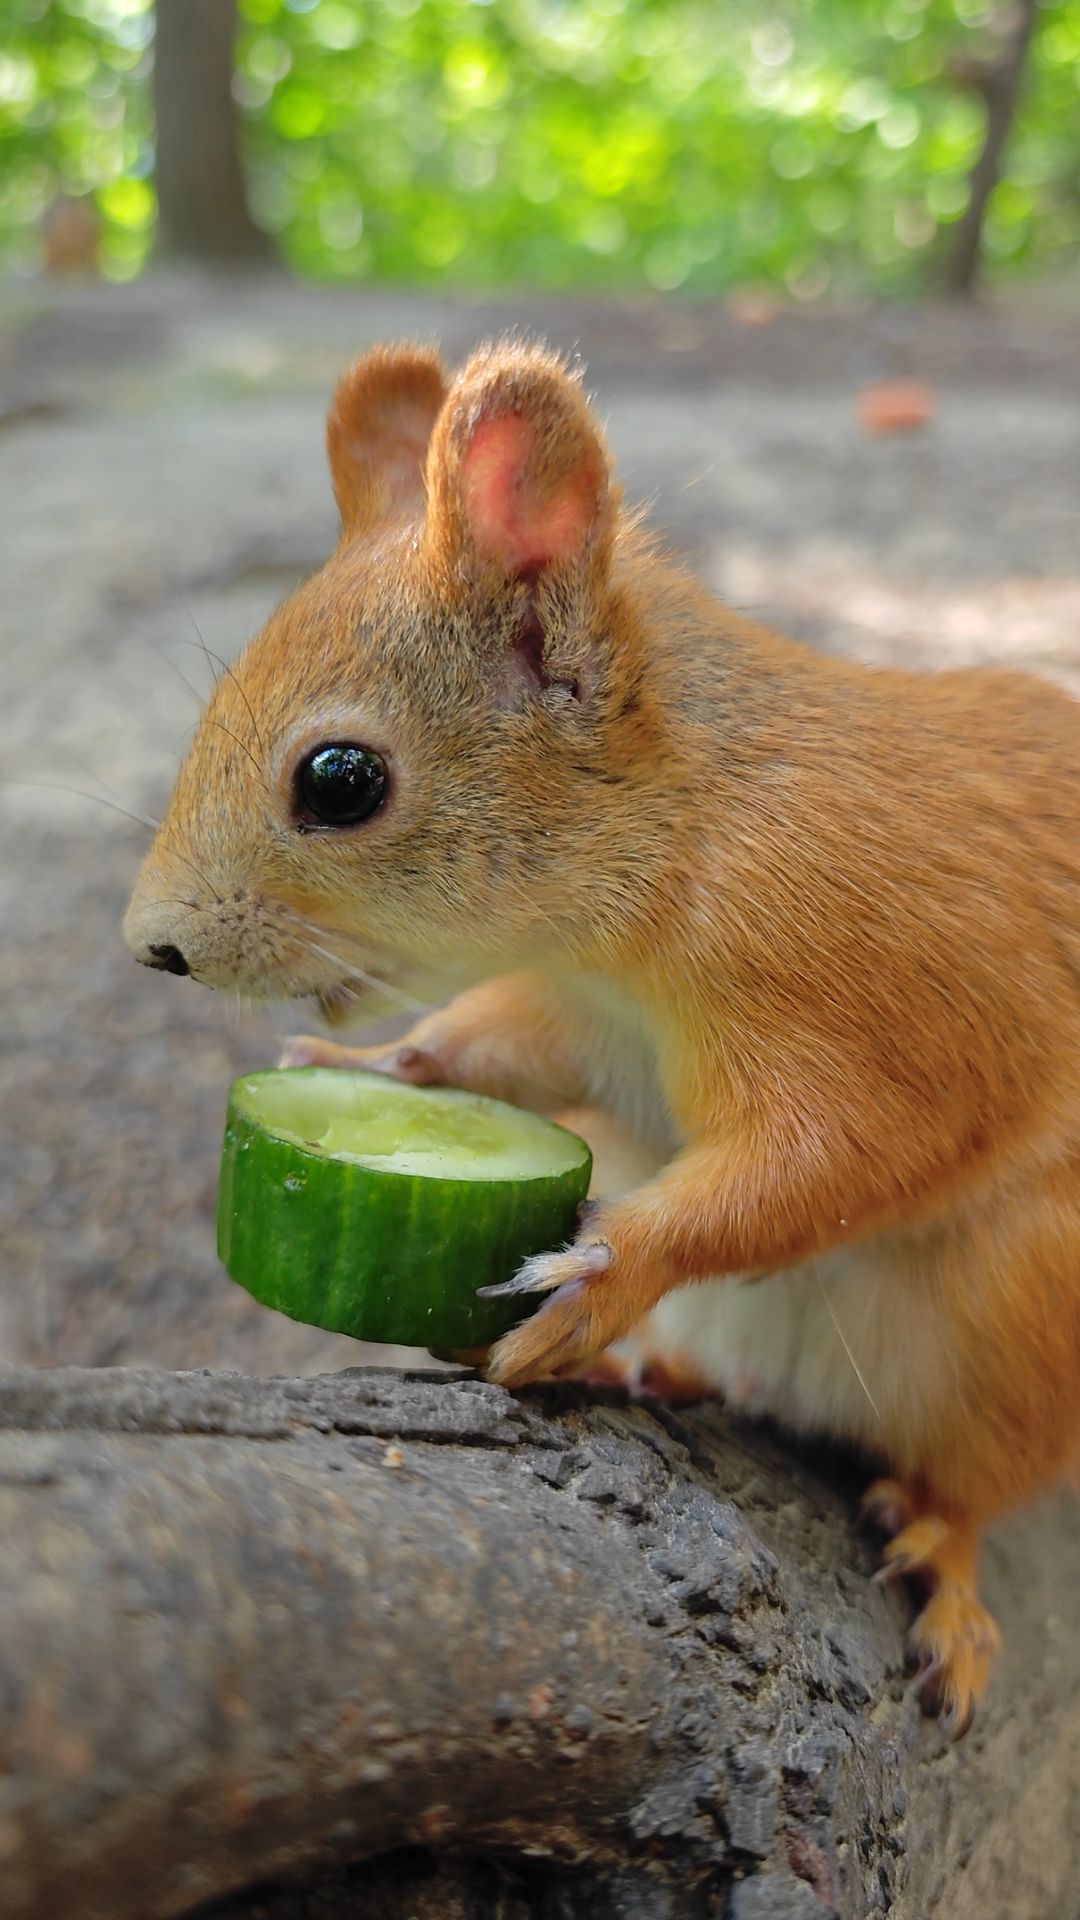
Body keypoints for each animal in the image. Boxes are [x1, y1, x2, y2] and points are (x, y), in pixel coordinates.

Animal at [125, 337, 1080, 1739]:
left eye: (340, 781)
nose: (154, 946)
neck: (679, 834)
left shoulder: (873, 993)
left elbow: (836, 1154)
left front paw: (608, 1271)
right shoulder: (572, 1005)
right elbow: (498, 1048)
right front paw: (381, 1070)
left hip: (1014, 1320)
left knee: (967, 1481)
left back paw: (944, 1572)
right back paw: (653, 1375)